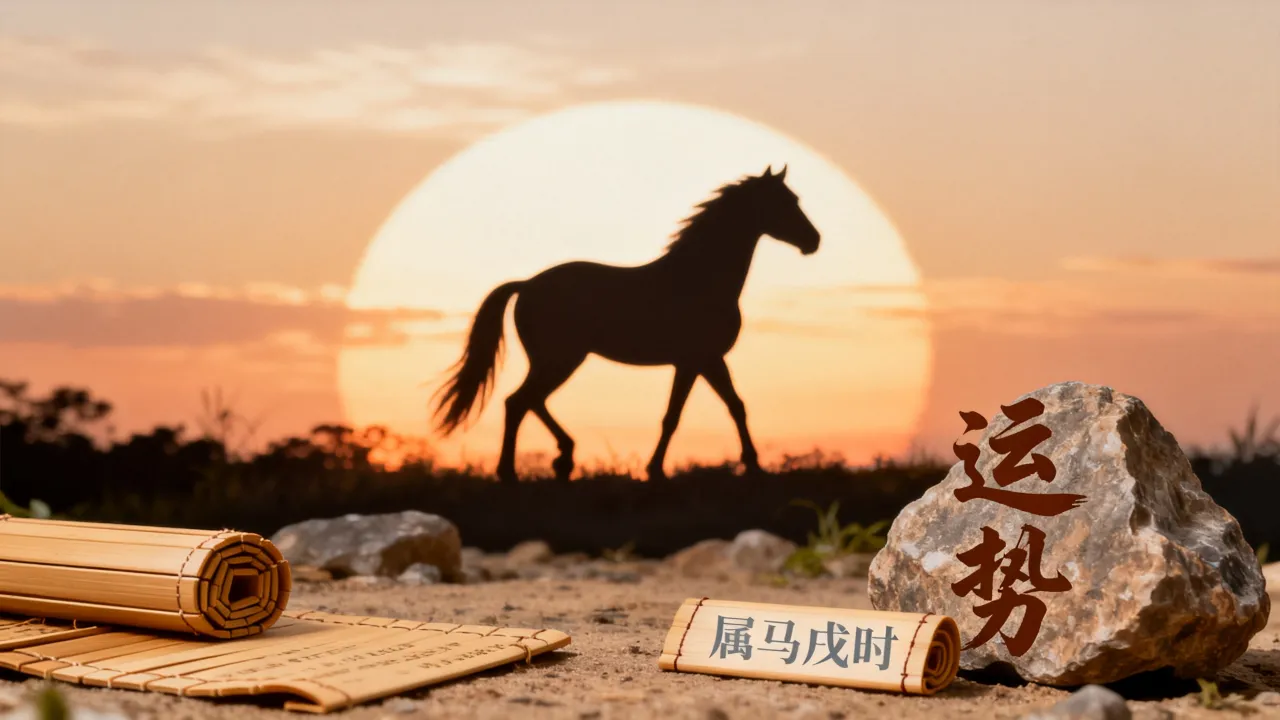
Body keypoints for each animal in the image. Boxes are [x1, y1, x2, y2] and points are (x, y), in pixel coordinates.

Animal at [431, 165, 821, 483]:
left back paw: (562, 458)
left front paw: (751, 465)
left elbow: (730, 406)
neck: (698, 278)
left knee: (530, 401)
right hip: (561, 359)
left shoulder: (705, 361)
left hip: (555, 360)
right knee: (519, 402)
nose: (813, 241)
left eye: (794, 199)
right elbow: (677, 416)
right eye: (784, 202)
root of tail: (526, 285)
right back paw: (514, 472)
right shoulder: (698, 360)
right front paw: (658, 470)